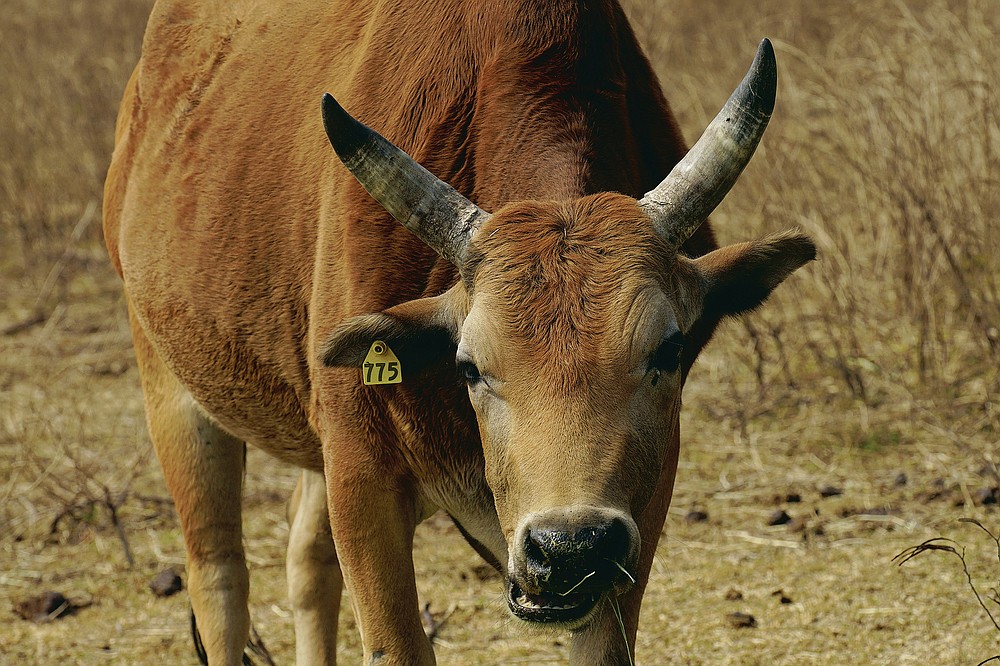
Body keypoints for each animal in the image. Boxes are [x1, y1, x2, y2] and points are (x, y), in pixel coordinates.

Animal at [103, 0, 812, 660]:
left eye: (667, 350)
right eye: (468, 364)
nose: (569, 547)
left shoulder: (640, 510)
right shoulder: (361, 477)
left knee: (307, 561)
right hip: (171, 389)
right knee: (220, 581)